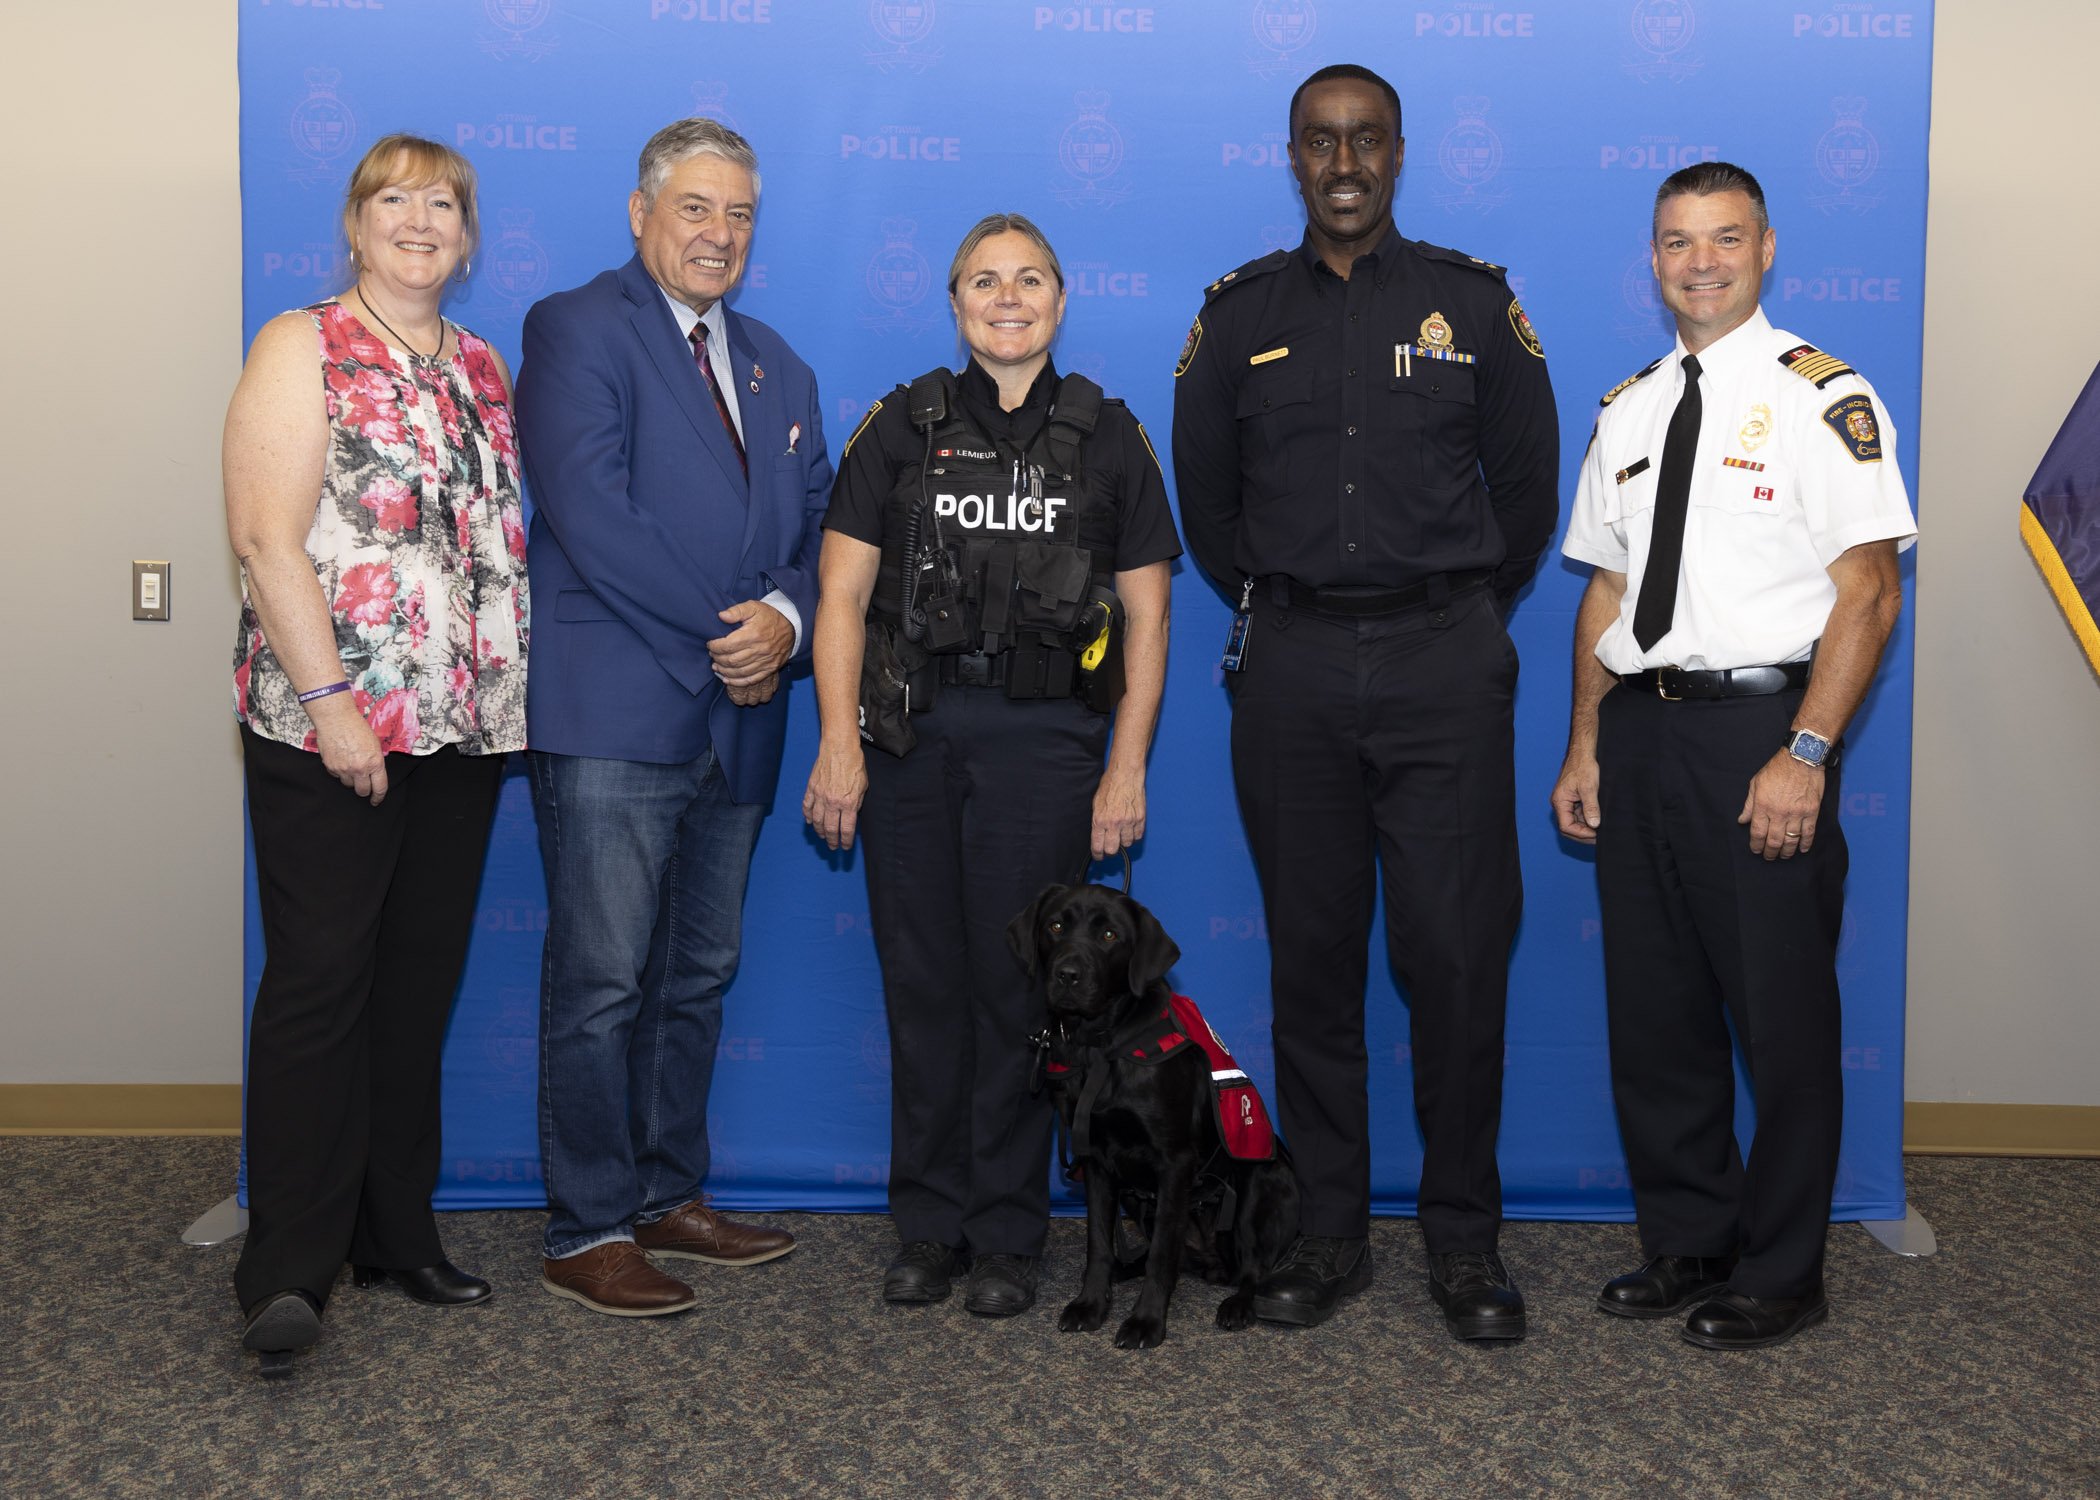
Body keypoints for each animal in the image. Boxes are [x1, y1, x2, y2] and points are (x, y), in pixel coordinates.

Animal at [1012, 878, 1302, 1344]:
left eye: (1109, 935)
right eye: (1055, 926)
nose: (1068, 975)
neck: (1098, 1045)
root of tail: (1216, 1264)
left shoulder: (1175, 1163)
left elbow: (1162, 1255)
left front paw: (1146, 1321)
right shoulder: (1095, 1161)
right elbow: (1099, 1245)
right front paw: (1090, 1304)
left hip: (1262, 1185)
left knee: (1252, 1269)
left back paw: (1238, 1304)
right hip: (1137, 1199)